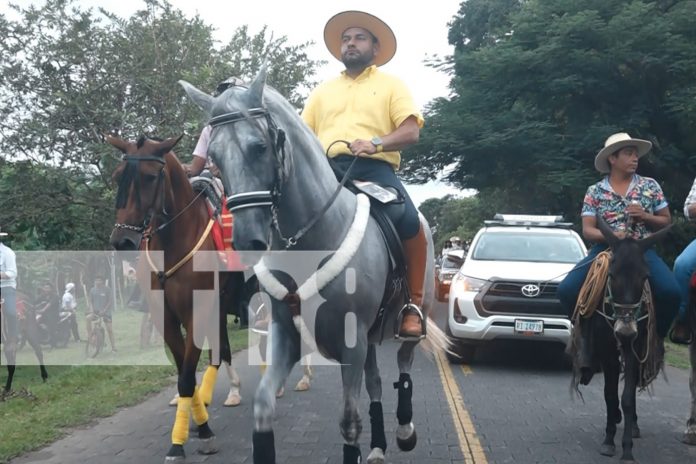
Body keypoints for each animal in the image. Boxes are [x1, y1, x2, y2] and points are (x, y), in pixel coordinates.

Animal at [107, 134, 246, 460]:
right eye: (118, 177)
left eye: (148, 177)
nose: (122, 241)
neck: (174, 244)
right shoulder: (167, 318)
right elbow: (186, 370)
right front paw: (197, 422)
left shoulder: (197, 312)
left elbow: (186, 375)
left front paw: (192, 437)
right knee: (221, 350)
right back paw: (231, 392)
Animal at [179, 69, 452, 464]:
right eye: (213, 156)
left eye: (259, 147)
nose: (246, 241)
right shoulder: (287, 335)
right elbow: (263, 405)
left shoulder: (352, 345)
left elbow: (349, 422)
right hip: (371, 338)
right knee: (376, 382)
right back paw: (379, 446)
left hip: (410, 321)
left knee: (403, 368)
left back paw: (403, 431)